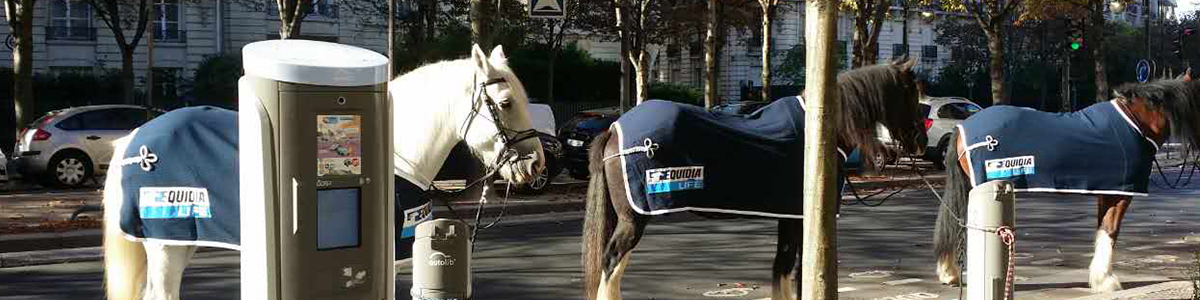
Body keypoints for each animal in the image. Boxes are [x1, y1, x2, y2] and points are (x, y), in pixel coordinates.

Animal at [936, 69, 1200, 291]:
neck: (1135, 123)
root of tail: (961, 126)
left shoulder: (1106, 193)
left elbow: (1102, 230)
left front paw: (1099, 278)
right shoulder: (1120, 194)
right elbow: (1111, 231)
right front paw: (1105, 281)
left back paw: (949, 273)